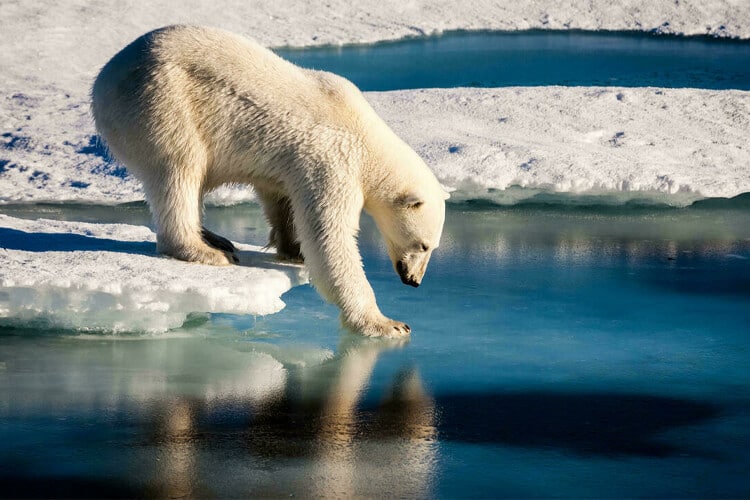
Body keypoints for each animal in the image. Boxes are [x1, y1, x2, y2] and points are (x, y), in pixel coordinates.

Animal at [92, 25, 450, 338]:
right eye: (423, 245)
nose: (414, 280)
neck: (365, 136)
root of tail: (103, 80)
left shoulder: (291, 164)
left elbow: (281, 198)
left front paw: (293, 249)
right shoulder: (333, 161)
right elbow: (330, 238)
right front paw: (388, 324)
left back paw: (215, 238)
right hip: (162, 103)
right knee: (179, 169)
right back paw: (205, 250)